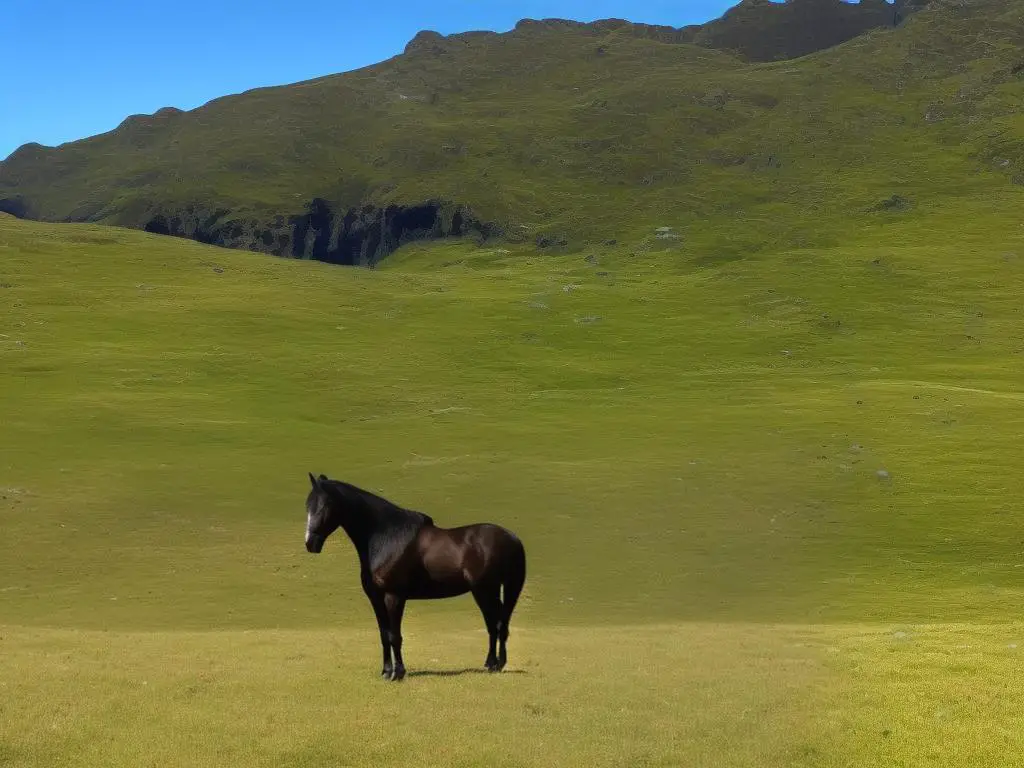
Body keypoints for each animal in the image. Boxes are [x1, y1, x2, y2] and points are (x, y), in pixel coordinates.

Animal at [301, 473, 528, 684]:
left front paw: (398, 673)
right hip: (488, 591)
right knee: (495, 623)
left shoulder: (394, 596)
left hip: (485, 590)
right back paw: (492, 664)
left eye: (323, 506)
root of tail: (513, 538)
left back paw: (497, 664)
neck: (385, 538)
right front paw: (386, 672)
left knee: (497, 623)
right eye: (307, 506)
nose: (310, 543)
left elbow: (395, 636)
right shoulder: (375, 598)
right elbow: (384, 634)